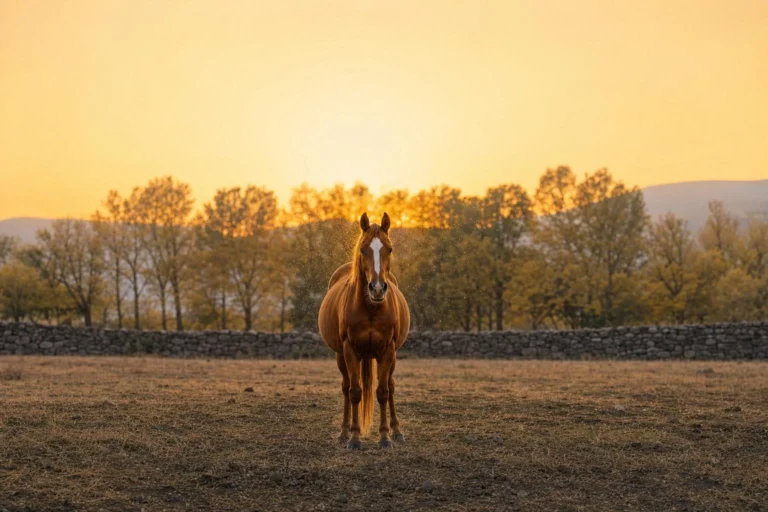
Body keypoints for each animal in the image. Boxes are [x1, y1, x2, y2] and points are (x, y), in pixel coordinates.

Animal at [318, 212, 410, 449]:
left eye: (389, 249)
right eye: (362, 249)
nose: (377, 288)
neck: (371, 307)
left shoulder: (387, 351)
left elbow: (383, 392)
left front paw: (385, 437)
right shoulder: (349, 350)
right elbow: (355, 392)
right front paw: (354, 437)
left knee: (391, 386)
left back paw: (398, 431)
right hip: (341, 356)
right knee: (346, 387)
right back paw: (343, 433)